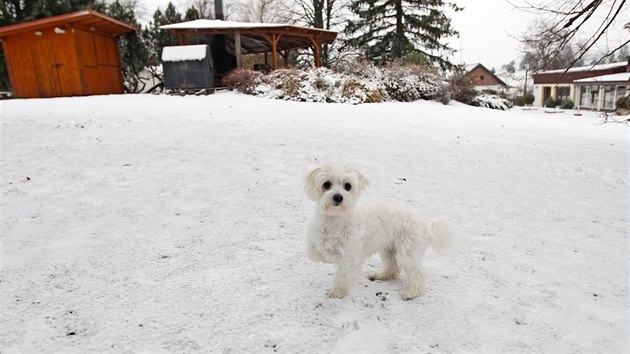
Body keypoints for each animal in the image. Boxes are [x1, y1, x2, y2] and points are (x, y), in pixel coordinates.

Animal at [304, 165, 456, 300]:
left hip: (407, 254)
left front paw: (337, 292)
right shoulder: (316, 239)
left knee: (417, 273)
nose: (338, 197)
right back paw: (381, 276)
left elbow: (342, 276)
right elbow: (315, 253)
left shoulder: (350, 257)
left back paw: (412, 292)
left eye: (348, 186)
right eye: (326, 184)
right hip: (390, 249)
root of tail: (423, 224)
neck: (335, 220)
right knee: (393, 269)